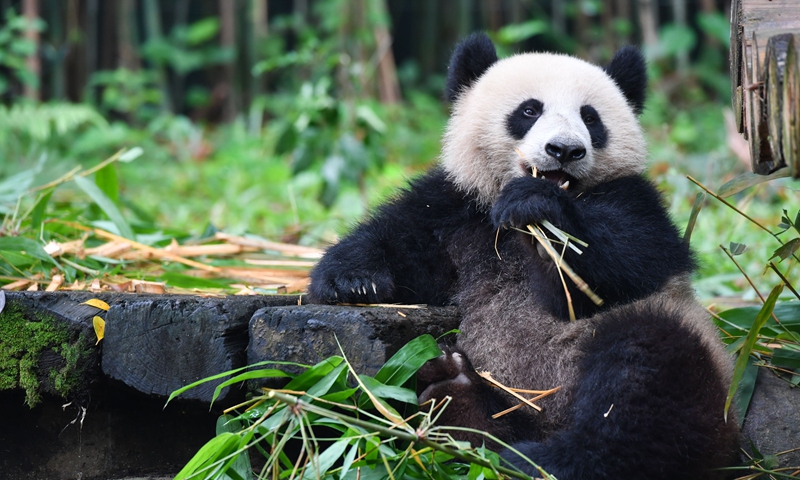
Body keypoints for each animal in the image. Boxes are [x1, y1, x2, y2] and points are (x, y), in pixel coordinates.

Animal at [306, 33, 736, 480]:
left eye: (591, 118)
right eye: (529, 110)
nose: (565, 150)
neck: (506, 225)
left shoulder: (635, 200)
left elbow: (620, 262)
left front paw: (538, 209)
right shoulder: (456, 208)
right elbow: (399, 241)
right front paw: (354, 281)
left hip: (681, 352)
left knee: (642, 383)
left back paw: (541, 459)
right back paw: (459, 398)